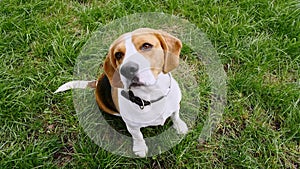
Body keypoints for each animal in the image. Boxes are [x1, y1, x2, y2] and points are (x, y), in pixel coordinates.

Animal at [54, 27, 188, 157]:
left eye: (146, 46)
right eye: (118, 55)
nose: (127, 69)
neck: (151, 95)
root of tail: (97, 82)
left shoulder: (175, 105)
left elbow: (175, 116)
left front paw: (180, 126)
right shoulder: (132, 126)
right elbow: (138, 136)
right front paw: (140, 148)